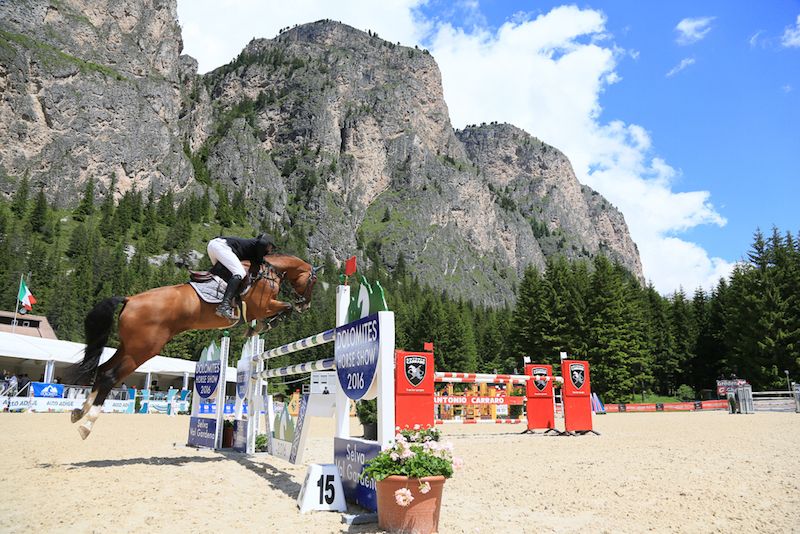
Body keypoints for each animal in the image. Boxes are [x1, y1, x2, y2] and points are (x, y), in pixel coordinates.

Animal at [70, 253, 319, 439]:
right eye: (313, 281)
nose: (306, 306)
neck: (268, 272)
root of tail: (130, 299)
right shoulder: (262, 306)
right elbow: (284, 307)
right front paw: (264, 325)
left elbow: (282, 309)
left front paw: (260, 327)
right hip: (142, 350)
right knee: (110, 376)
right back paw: (86, 425)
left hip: (128, 346)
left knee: (102, 370)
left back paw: (79, 412)